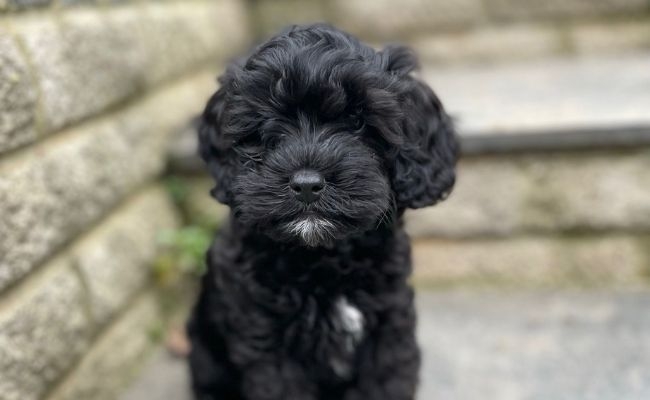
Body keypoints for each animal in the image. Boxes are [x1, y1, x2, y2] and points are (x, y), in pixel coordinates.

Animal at [187, 24, 456, 400]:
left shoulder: (389, 325)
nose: (306, 184)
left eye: (357, 122)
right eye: (266, 123)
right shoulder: (268, 342)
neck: (323, 259)